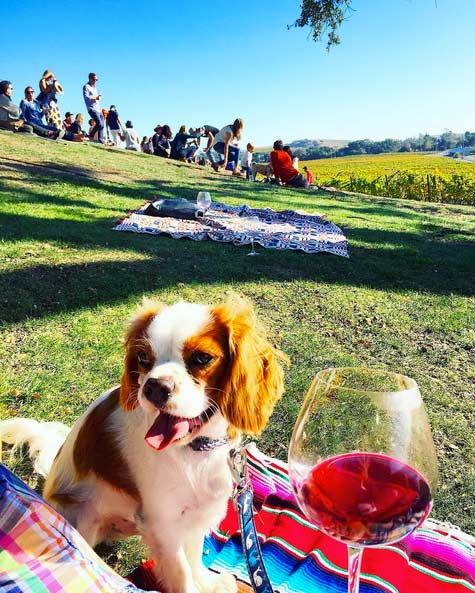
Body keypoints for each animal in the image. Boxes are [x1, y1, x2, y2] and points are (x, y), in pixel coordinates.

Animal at [0, 296, 286, 592]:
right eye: (143, 358)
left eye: (202, 358)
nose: (155, 386)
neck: (194, 450)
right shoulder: (163, 523)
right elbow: (180, 570)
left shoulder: (196, 512)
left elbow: (194, 554)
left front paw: (207, 582)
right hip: (85, 514)